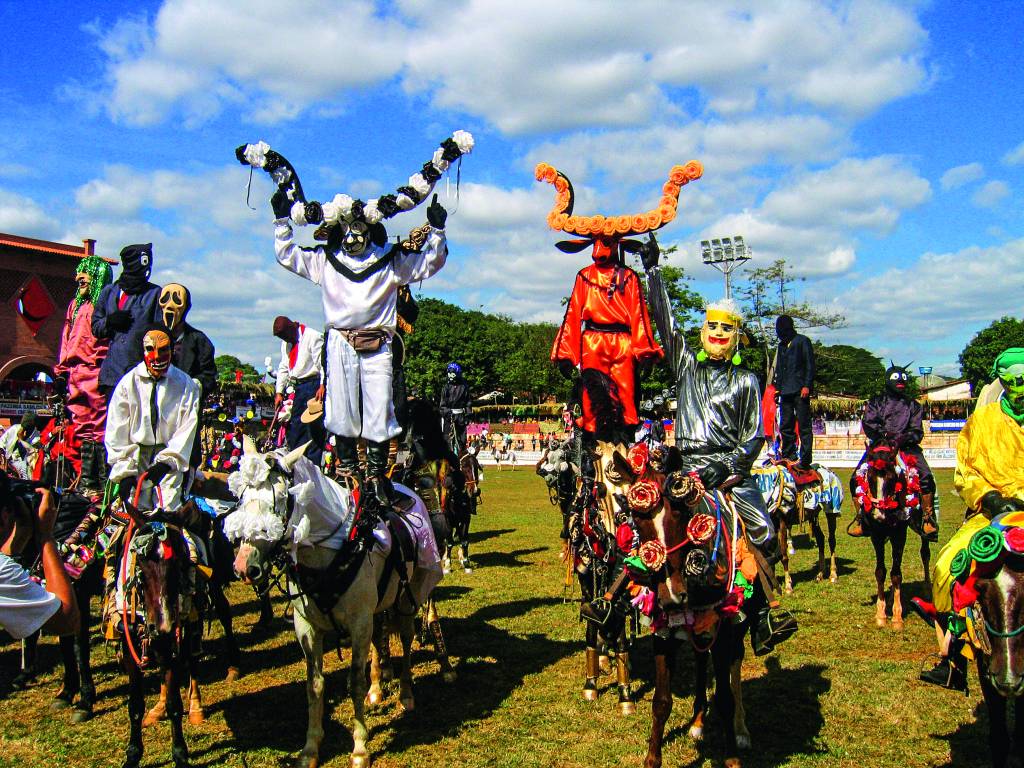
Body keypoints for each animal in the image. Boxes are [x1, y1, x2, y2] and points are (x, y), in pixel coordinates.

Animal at [224, 438, 440, 768]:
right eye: (242, 497)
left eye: (281, 500)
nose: (243, 567)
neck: (330, 550)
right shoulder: (307, 627)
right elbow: (315, 685)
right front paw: (310, 748)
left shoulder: (359, 623)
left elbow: (354, 682)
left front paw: (360, 748)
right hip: (378, 608)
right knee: (379, 639)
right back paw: (377, 690)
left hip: (406, 598)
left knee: (405, 638)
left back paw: (405, 694)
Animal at [847, 442, 921, 626]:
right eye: (870, 477)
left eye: (892, 478)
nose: (879, 515)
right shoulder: (877, 536)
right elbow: (880, 572)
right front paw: (880, 614)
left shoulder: (899, 536)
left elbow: (896, 574)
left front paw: (897, 617)